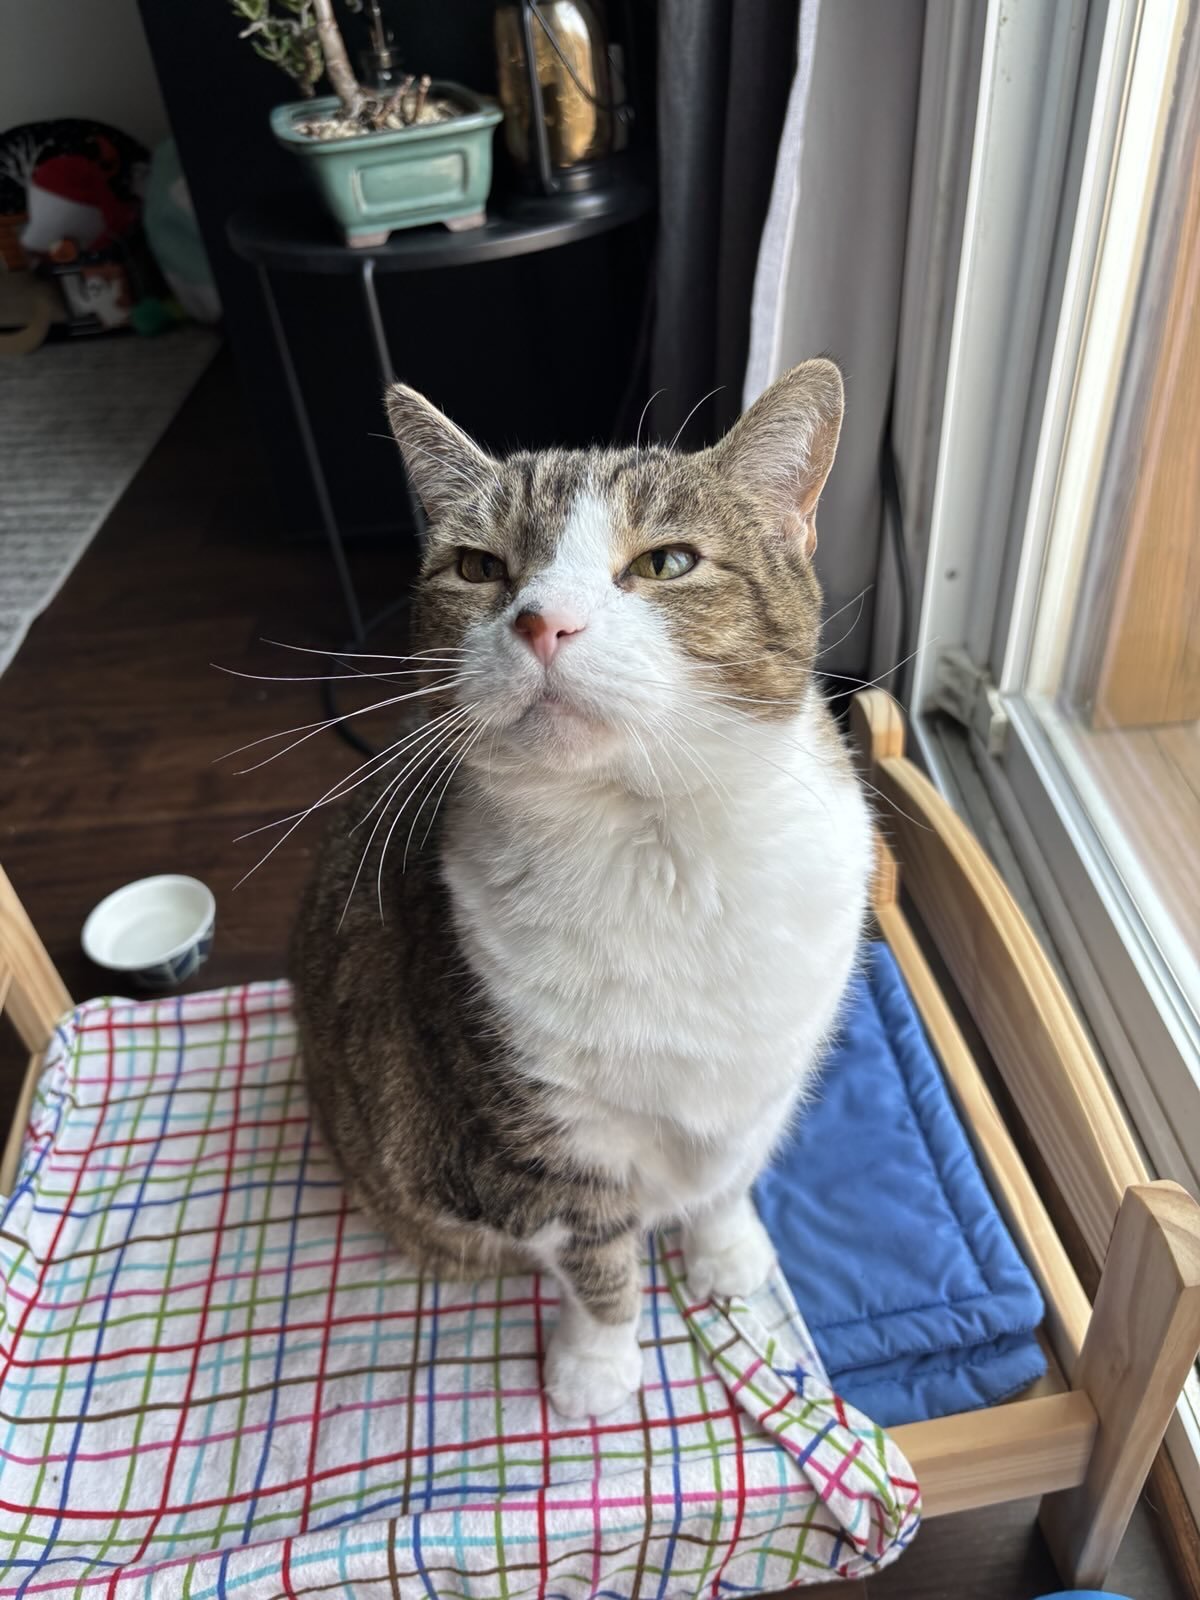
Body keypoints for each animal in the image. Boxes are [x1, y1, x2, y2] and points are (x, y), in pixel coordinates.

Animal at [291, 360, 876, 1414]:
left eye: (669, 562)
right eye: (479, 568)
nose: (541, 620)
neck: (657, 847)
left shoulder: (767, 1076)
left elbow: (731, 1174)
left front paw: (726, 1250)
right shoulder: (531, 1141)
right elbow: (597, 1257)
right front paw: (597, 1365)